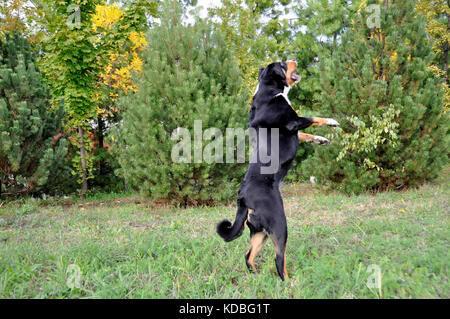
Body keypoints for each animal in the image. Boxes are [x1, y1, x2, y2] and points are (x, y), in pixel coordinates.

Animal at [216, 60, 340, 280]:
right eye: (283, 64)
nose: (293, 60)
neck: (269, 90)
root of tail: (243, 197)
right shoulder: (293, 121)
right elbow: (314, 117)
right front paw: (331, 122)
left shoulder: (296, 129)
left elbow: (307, 134)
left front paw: (321, 139)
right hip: (279, 224)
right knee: (279, 259)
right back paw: (290, 282)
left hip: (260, 232)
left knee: (249, 256)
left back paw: (257, 277)